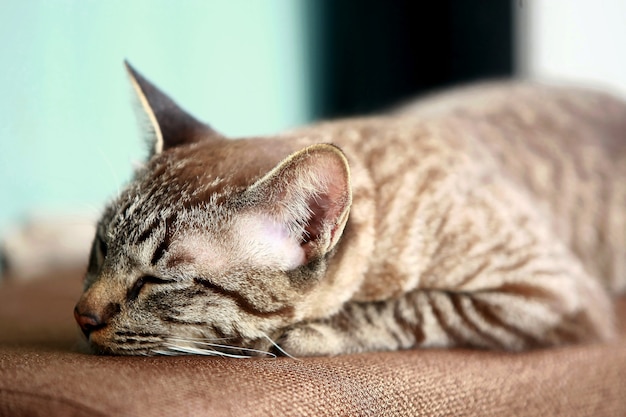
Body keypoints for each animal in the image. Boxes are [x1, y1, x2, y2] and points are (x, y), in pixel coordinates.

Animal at [72, 62, 620, 358]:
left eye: (157, 281)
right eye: (101, 248)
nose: (81, 316)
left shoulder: (546, 291)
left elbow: (416, 306)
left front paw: (301, 335)